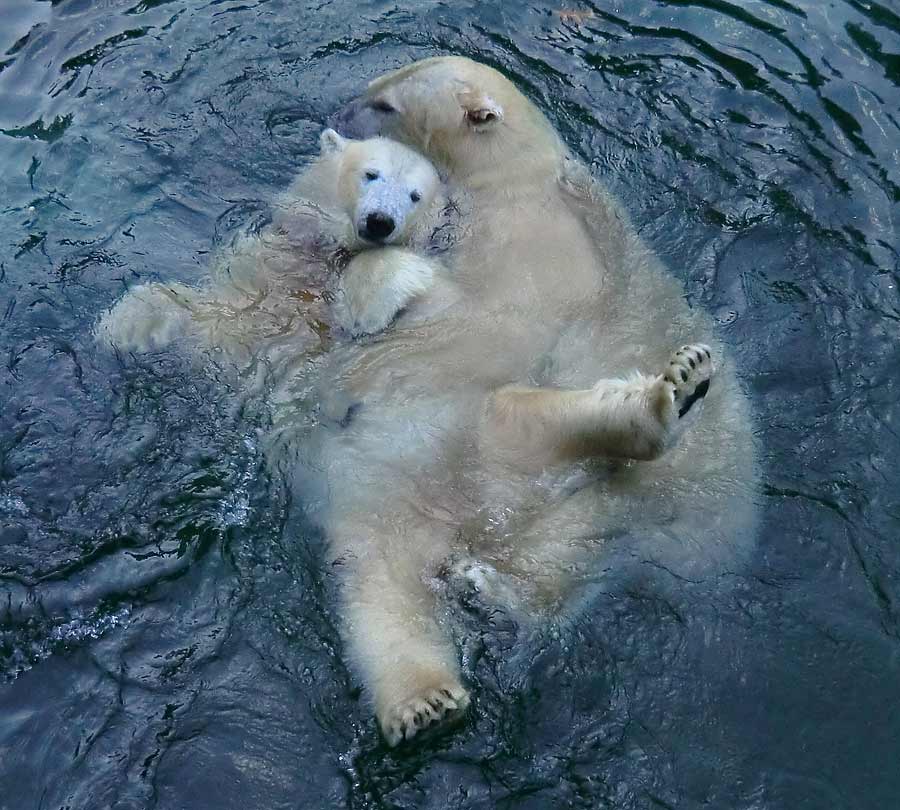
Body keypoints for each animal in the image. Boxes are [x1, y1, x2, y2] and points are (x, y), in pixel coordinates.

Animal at [312, 53, 760, 740]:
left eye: (387, 104)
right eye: (377, 83)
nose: (338, 111)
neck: (515, 178)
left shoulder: (524, 249)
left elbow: (485, 316)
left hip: (652, 484)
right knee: (392, 584)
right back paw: (442, 664)